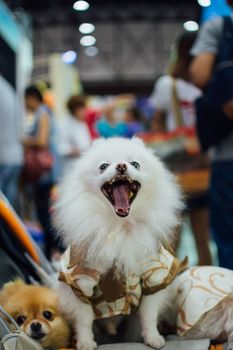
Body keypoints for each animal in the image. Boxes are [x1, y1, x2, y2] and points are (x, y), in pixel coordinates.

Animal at [53, 137, 183, 350]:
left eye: (135, 164)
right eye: (103, 166)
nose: (121, 166)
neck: (121, 227)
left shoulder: (152, 278)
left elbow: (148, 315)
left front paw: (153, 338)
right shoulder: (80, 282)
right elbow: (84, 320)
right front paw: (85, 342)